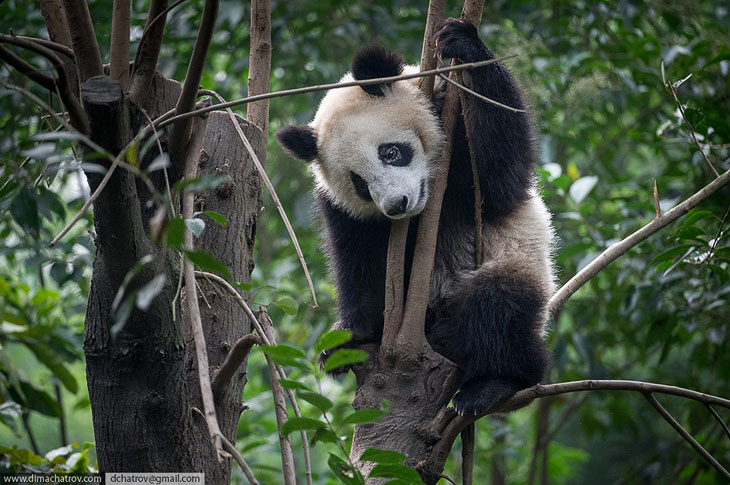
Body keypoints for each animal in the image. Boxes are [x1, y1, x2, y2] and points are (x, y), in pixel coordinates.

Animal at [272, 18, 552, 412]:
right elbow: (359, 264)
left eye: (390, 152)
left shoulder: (457, 132)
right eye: (359, 183)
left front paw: (462, 42)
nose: (396, 205)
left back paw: (494, 384)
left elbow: (500, 181)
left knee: (498, 307)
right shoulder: (344, 211)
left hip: (516, 263)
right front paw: (350, 338)